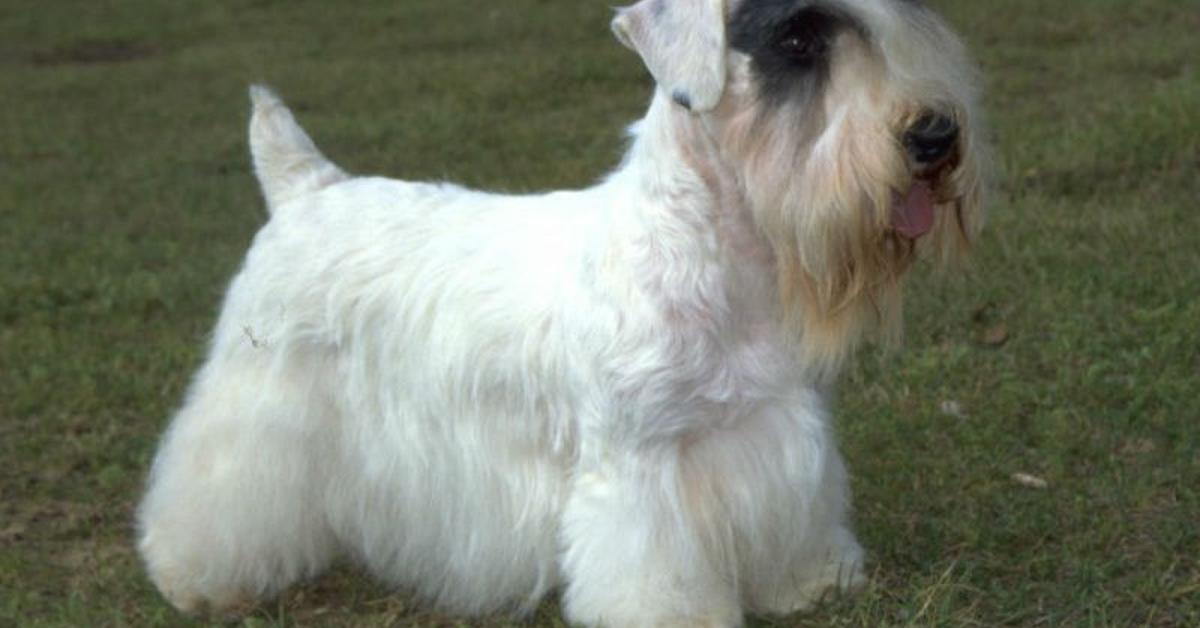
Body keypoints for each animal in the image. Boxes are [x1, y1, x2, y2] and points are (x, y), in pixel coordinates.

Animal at [138, 2, 984, 624]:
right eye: (797, 39)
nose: (935, 135)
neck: (715, 254)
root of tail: (305, 191)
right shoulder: (635, 470)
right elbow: (652, 574)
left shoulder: (771, 429)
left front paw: (809, 581)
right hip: (258, 402)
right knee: (212, 485)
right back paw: (194, 576)